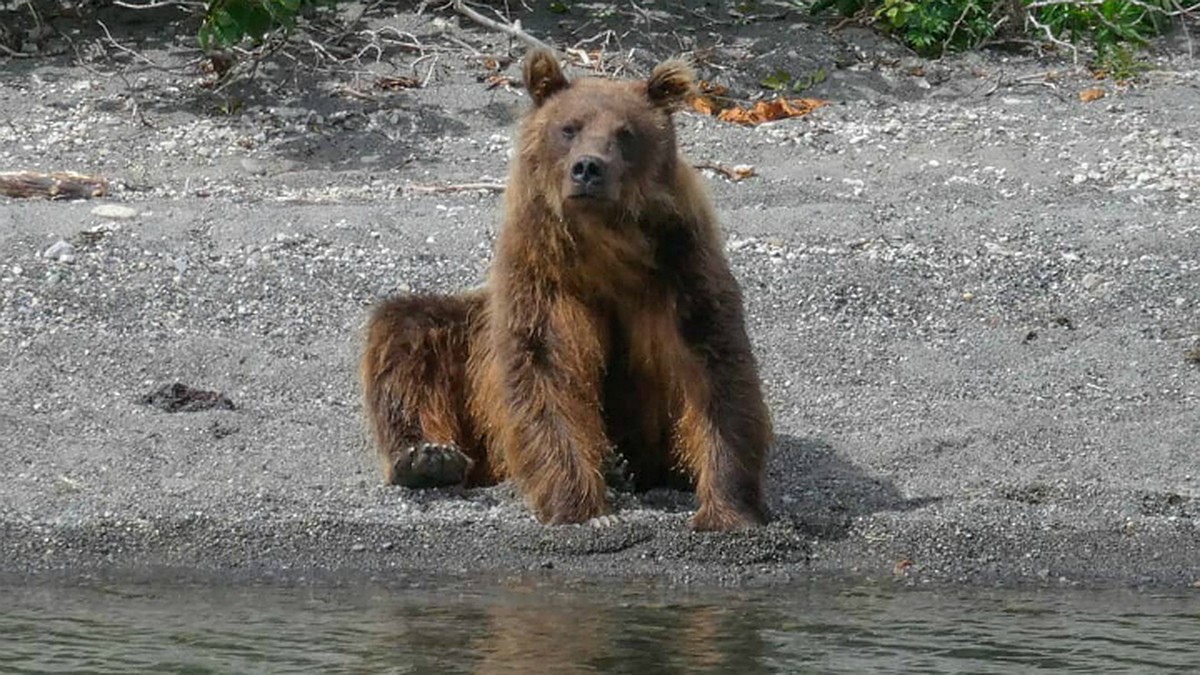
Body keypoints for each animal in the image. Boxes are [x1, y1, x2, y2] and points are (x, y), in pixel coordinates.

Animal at [357, 48, 768, 530]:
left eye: (626, 133)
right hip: (467, 340)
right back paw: (427, 457)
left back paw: (621, 466)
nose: (588, 168)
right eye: (569, 127)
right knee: (407, 331)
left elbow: (715, 368)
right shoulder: (542, 273)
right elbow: (544, 370)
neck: (606, 246)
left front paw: (728, 508)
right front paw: (580, 506)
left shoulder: (682, 264)